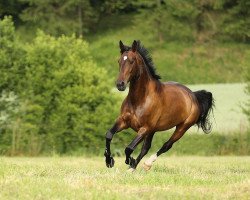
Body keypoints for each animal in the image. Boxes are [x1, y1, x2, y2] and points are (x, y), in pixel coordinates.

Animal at [104, 40, 214, 170]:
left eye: (132, 61)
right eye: (119, 61)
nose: (120, 84)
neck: (140, 99)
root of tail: (193, 95)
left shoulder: (145, 128)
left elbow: (129, 148)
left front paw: (129, 160)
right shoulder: (124, 121)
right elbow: (109, 135)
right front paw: (109, 160)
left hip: (182, 128)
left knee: (166, 145)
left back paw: (146, 164)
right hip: (154, 131)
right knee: (146, 148)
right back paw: (133, 168)